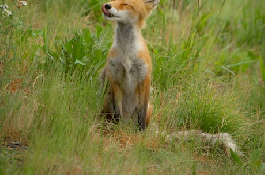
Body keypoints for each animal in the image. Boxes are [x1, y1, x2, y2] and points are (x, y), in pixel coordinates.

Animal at [99, 0, 159, 129]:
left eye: (126, 4)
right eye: (113, 0)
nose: (107, 5)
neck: (126, 54)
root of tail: (128, 123)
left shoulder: (144, 77)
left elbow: (142, 112)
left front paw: (141, 131)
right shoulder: (114, 76)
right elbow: (117, 111)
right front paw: (117, 128)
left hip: (150, 108)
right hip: (106, 100)